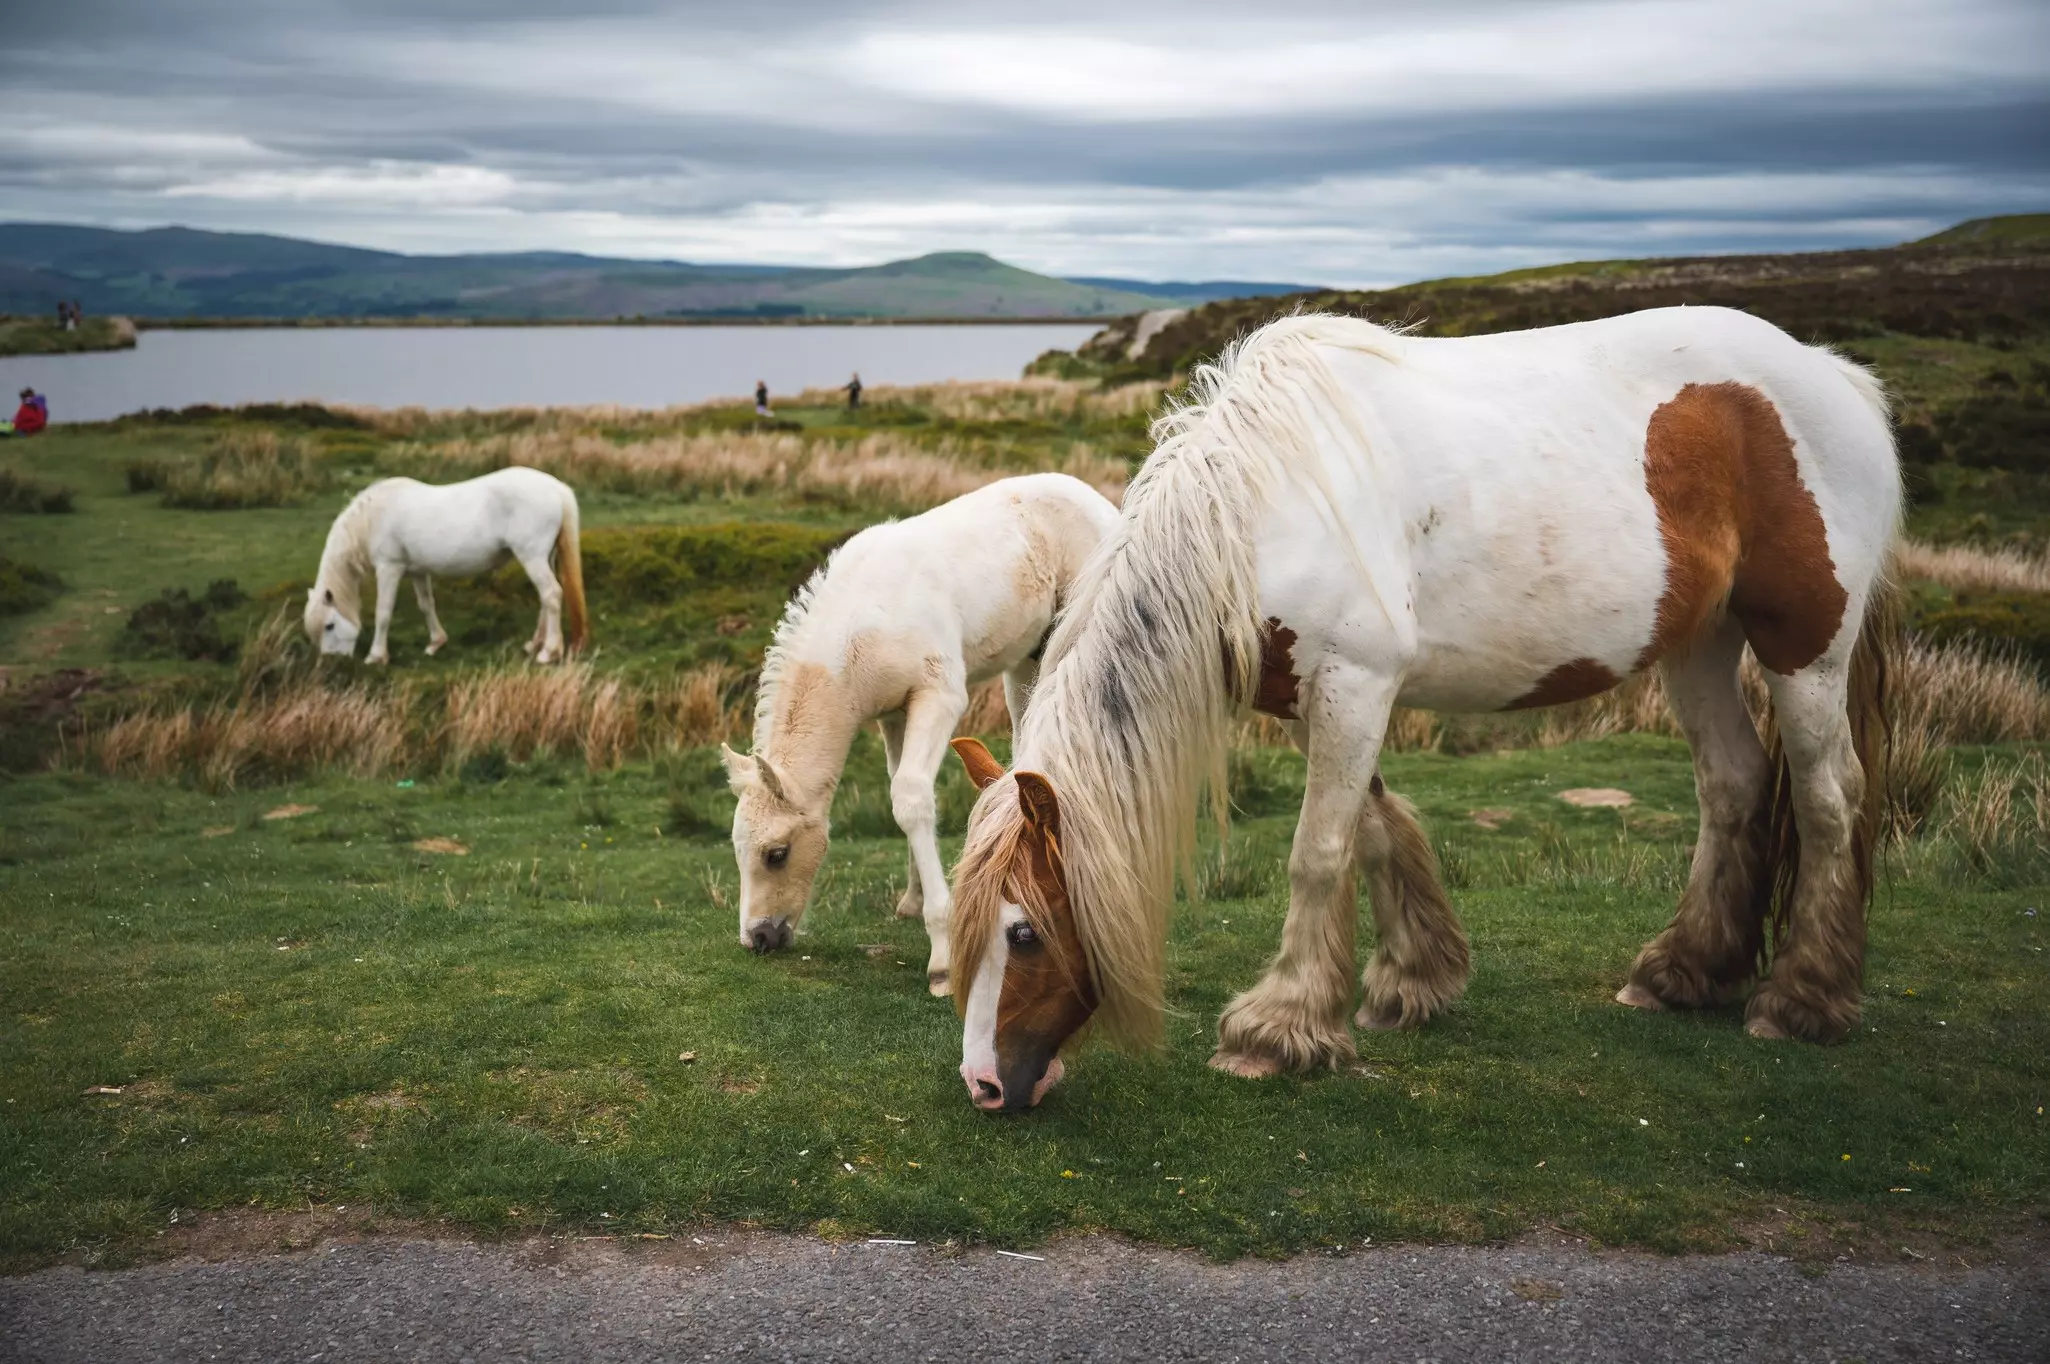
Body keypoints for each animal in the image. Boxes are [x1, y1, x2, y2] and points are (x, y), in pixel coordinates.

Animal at [303, 467, 588, 665]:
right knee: (546, 599)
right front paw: (436, 643)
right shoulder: (417, 571)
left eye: (329, 625)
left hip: (532, 557)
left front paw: (376, 656)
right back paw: (535, 644)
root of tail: (556, 488)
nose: (334, 666)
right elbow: (426, 605)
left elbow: (383, 612)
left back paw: (549, 652)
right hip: (543, 557)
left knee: (551, 594)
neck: (373, 517)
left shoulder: (389, 568)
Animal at [719, 472, 1120, 995]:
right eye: (737, 848)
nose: (757, 938)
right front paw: (911, 900)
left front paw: (942, 957)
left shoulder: (939, 697)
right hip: (1026, 658)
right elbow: (900, 793)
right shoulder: (892, 713)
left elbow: (910, 796)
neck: (862, 630)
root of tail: (1100, 501)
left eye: (776, 854)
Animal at [947, 307, 1899, 1111]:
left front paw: (1277, 1030)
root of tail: (1832, 372)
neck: (1266, 503)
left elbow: (1318, 853)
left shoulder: (1357, 682)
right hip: (1700, 643)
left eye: (1023, 933)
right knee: (1732, 785)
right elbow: (1372, 828)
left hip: (1805, 647)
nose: (985, 1086)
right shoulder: (1322, 696)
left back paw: (1803, 999)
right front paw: (1412, 981)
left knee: (1828, 799)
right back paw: (1682, 972)